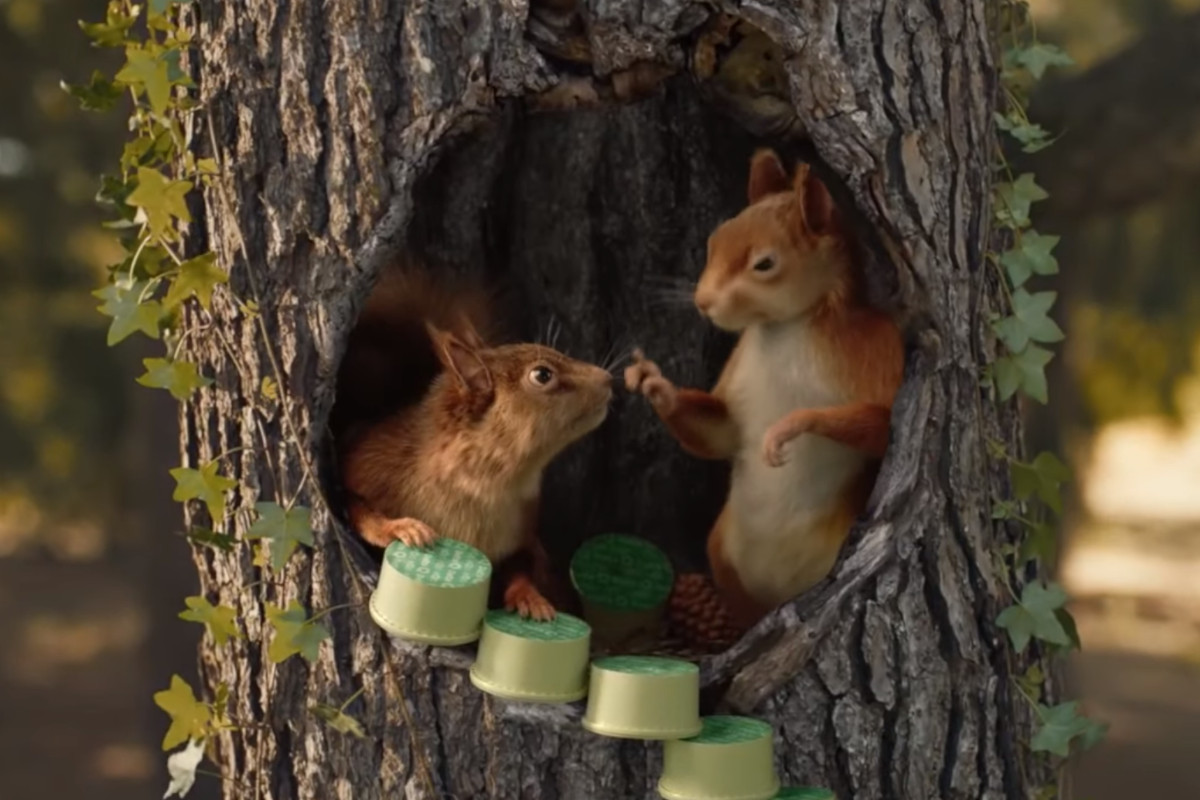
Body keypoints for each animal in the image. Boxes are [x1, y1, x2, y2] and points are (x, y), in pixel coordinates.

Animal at [333, 266, 614, 623]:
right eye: (542, 375)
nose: (608, 379)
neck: (486, 482)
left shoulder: (520, 531)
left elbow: (520, 566)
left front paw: (531, 598)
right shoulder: (369, 467)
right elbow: (358, 510)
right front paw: (401, 528)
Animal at [628, 149, 902, 633]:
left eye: (765, 264)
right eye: (715, 240)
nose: (703, 302)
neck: (788, 328)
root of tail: (778, 588)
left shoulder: (878, 353)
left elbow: (883, 426)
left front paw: (792, 425)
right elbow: (719, 434)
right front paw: (656, 385)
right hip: (722, 550)